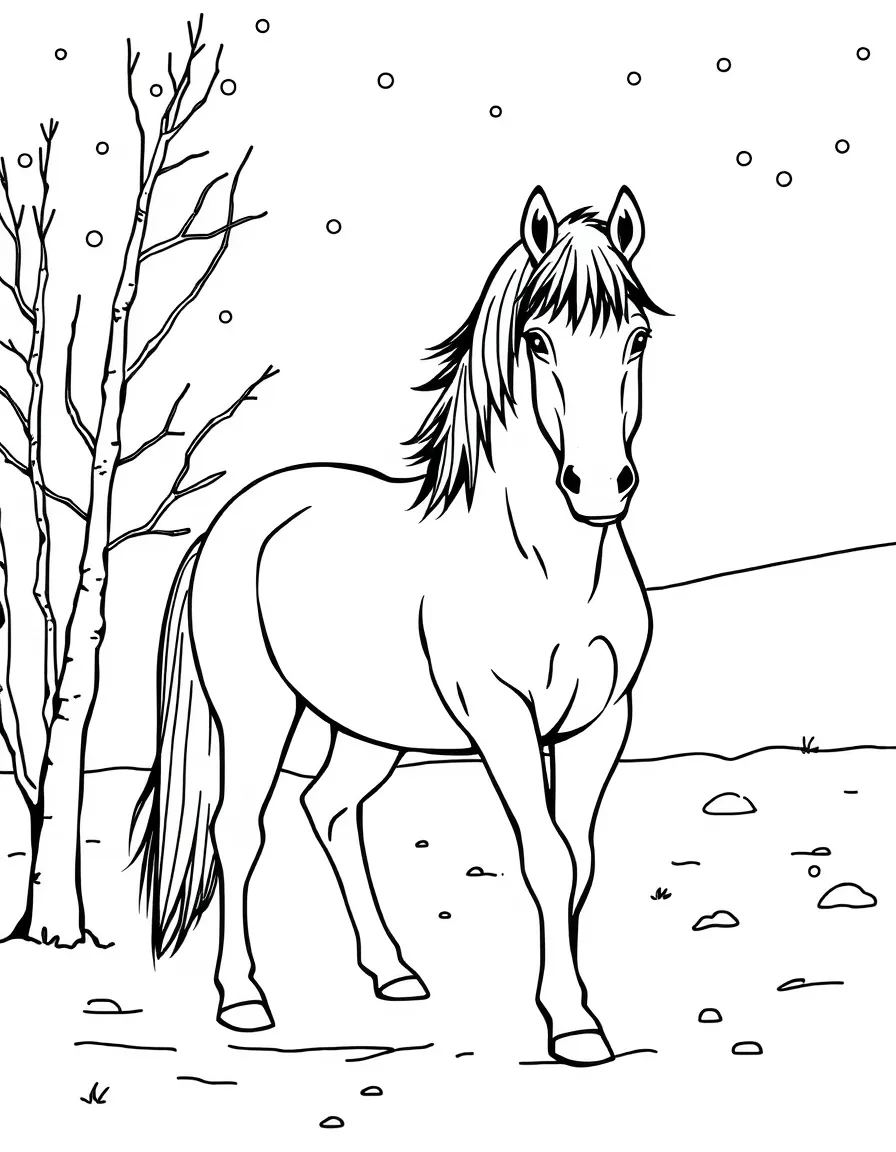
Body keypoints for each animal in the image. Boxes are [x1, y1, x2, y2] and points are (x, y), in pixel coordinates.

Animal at [132, 184, 665, 1067]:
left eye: (638, 336)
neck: (550, 567)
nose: (598, 486)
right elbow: (546, 858)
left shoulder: (601, 721)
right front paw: (572, 1026)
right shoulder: (502, 719)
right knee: (239, 829)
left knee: (327, 809)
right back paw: (243, 999)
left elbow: (580, 862)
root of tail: (228, 520)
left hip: (371, 726)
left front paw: (577, 1006)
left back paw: (394, 973)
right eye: (538, 339)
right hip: (256, 713)